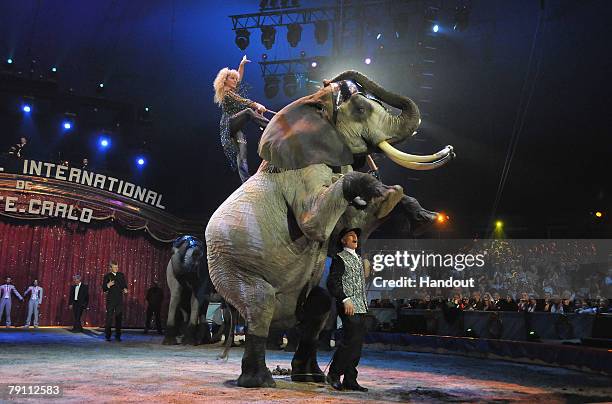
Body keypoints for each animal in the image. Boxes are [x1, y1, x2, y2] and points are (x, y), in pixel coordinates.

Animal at [207, 70, 454, 388]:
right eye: (360, 109)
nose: (332, 80)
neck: (314, 108)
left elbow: (345, 228)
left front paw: (418, 214)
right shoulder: (301, 172)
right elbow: (315, 225)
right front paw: (386, 193)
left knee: (319, 307)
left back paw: (309, 377)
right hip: (230, 267)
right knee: (260, 306)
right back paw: (260, 381)